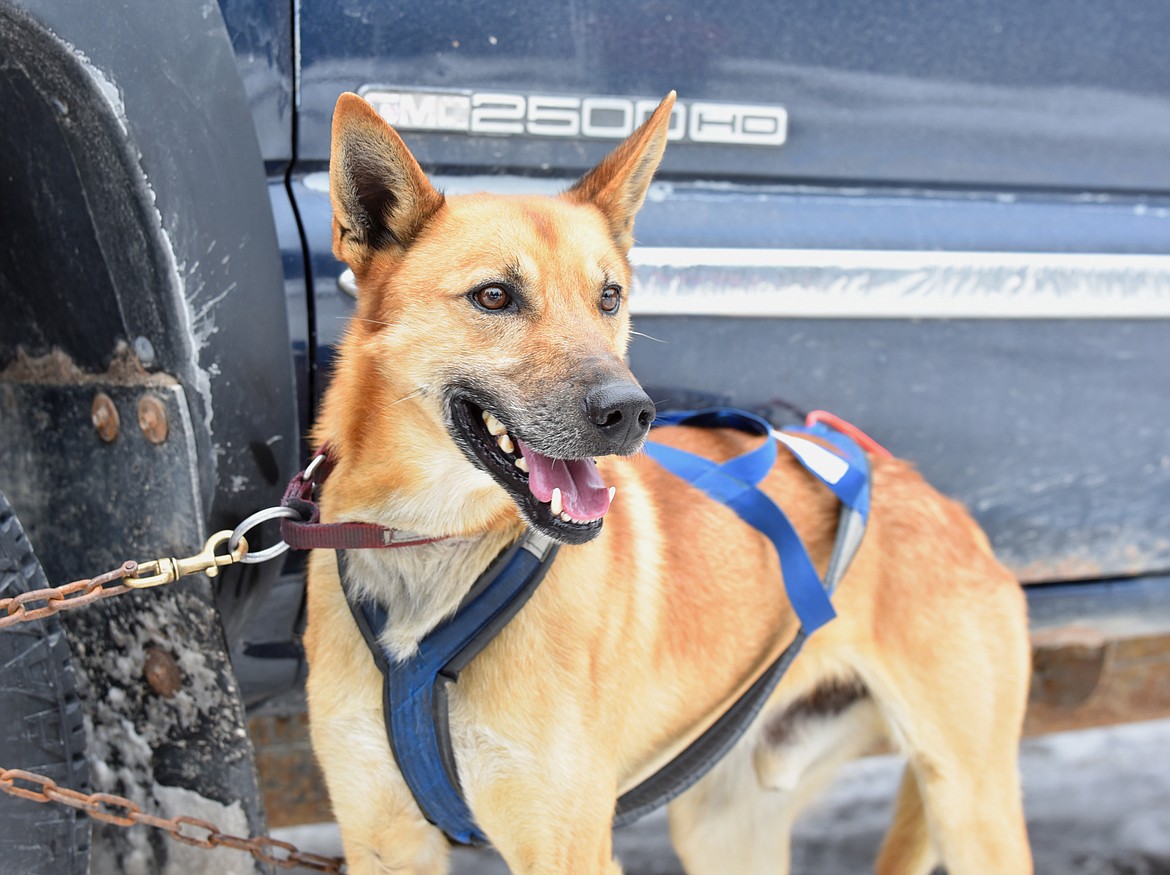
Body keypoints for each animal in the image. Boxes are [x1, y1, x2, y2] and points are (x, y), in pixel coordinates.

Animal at [304, 92, 1034, 870]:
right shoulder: (382, 841)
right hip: (726, 827)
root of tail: (921, 487)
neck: (433, 542)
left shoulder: (570, 847)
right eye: (494, 296)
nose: (630, 411)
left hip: (971, 809)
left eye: (609, 296)